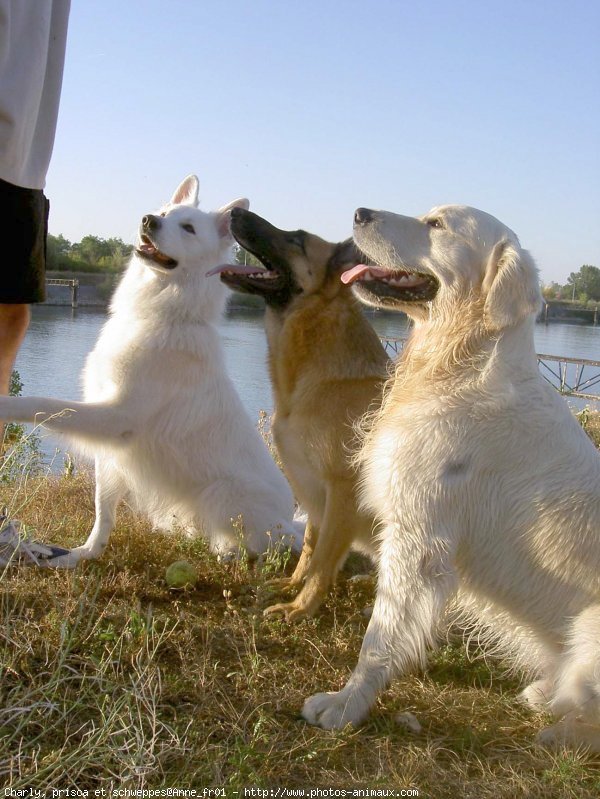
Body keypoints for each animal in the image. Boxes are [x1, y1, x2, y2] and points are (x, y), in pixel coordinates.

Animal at [0, 178, 302, 564]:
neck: (160, 316)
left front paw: (5, 405)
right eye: (163, 214)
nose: (148, 220)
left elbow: (42, 404)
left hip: (221, 496)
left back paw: (230, 554)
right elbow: (103, 511)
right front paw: (82, 555)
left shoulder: (115, 417)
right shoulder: (111, 450)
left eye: (188, 228)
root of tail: (289, 521)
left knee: (264, 547)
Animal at [302, 205, 600, 752]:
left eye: (436, 224)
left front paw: (345, 705)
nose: (359, 212)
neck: (460, 362)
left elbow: (379, 638)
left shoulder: (417, 538)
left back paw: (561, 733)